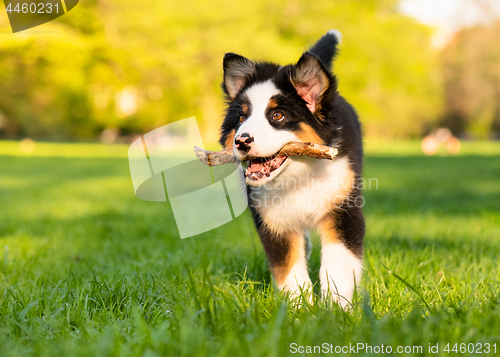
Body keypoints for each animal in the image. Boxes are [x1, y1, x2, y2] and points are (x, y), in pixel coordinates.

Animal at [219, 31, 364, 308]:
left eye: (278, 116)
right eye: (241, 118)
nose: (241, 141)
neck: (299, 176)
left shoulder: (343, 207)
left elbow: (338, 264)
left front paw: (337, 309)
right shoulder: (272, 218)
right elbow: (287, 267)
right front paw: (300, 309)